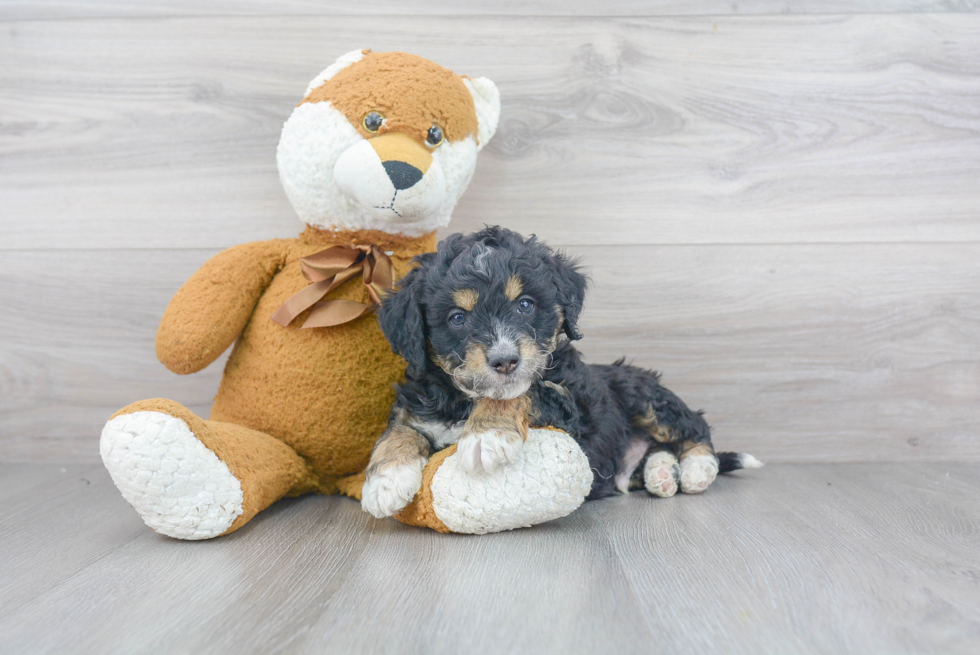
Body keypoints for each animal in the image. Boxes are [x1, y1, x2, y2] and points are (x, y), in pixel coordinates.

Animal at [362, 228, 764, 520]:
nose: (505, 361)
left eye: (525, 305)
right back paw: (661, 473)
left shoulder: (571, 412)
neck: (464, 399)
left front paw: (486, 435)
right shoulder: (420, 402)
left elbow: (525, 391)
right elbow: (400, 428)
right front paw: (385, 481)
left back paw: (696, 468)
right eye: (457, 318)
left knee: (694, 426)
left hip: (642, 394)